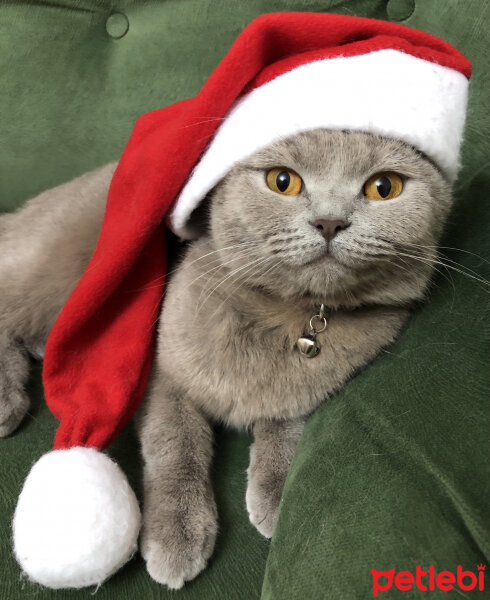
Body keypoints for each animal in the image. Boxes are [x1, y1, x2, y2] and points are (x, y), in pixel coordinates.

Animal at [0, 130, 452, 584]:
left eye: (383, 187)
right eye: (283, 181)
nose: (330, 221)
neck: (288, 317)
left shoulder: (307, 389)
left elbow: (286, 418)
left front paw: (275, 492)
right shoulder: (164, 374)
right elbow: (176, 445)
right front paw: (177, 533)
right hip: (62, 269)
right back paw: (7, 400)